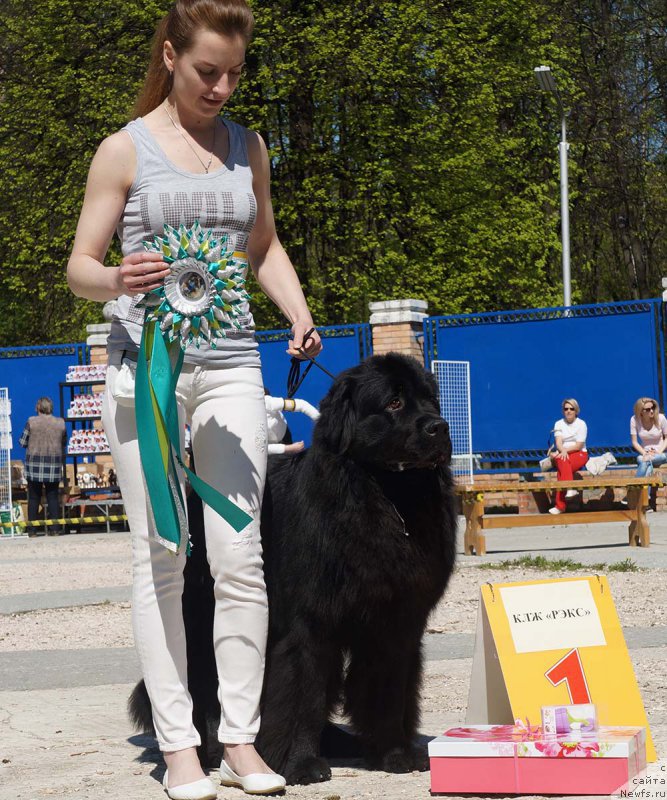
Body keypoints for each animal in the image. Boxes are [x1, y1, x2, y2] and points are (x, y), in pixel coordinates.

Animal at [129, 354, 460, 784]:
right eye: (394, 403)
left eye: (430, 400)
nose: (440, 427)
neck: (386, 497)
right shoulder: (310, 622)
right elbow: (304, 692)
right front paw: (300, 763)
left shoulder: (396, 622)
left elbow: (387, 689)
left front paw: (394, 753)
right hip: (200, 611)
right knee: (202, 676)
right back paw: (209, 749)